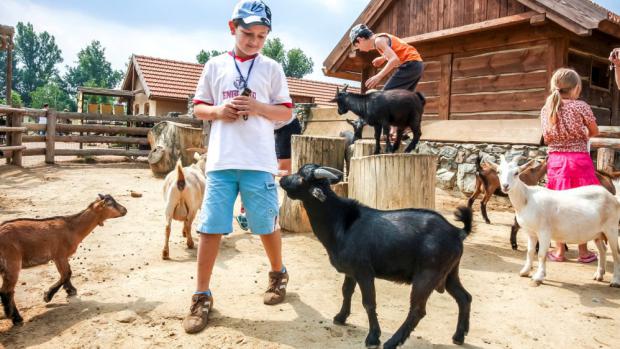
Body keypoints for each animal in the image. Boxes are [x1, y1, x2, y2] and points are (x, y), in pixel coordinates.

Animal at [0, 193, 126, 324]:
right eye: (110, 204)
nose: (125, 210)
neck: (72, 228)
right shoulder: (60, 254)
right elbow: (67, 273)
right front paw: (47, 296)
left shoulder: (60, 257)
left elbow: (66, 273)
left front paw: (70, 290)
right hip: (12, 262)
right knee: (7, 291)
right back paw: (15, 317)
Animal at [278, 164, 472, 348]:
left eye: (302, 177)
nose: (282, 180)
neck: (339, 223)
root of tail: (457, 232)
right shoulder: (350, 272)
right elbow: (346, 291)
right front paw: (340, 317)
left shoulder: (364, 271)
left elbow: (369, 302)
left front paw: (373, 337)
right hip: (449, 273)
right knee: (464, 297)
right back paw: (459, 336)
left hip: (427, 275)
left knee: (418, 310)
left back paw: (392, 342)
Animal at [492, 155, 620, 286]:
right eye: (498, 172)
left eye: (516, 173)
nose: (505, 186)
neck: (527, 198)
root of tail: (613, 197)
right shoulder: (531, 233)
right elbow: (530, 252)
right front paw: (525, 272)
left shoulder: (544, 231)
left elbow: (541, 254)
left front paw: (538, 277)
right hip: (598, 233)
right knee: (603, 250)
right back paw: (599, 275)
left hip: (611, 229)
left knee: (616, 254)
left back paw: (615, 281)